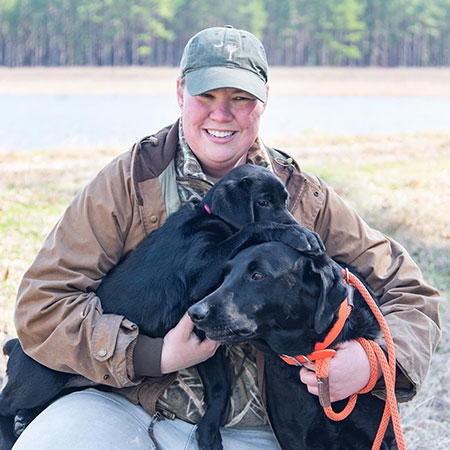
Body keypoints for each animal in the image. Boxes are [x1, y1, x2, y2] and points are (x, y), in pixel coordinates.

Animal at [0, 165, 324, 450]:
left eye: (284, 199)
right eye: (264, 202)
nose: (298, 225)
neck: (212, 218)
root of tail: (18, 344)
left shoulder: (207, 343)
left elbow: (220, 389)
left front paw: (208, 434)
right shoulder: (201, 278)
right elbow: (252, 228)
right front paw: (297, 236)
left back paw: (24, 420)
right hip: (41, 379)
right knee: (5, 403)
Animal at [188, 243, 396, 450]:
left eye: (257, 275)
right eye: (225, 275)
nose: (194, 313)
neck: (312, 353)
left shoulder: (379, 438)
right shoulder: (296, 439)